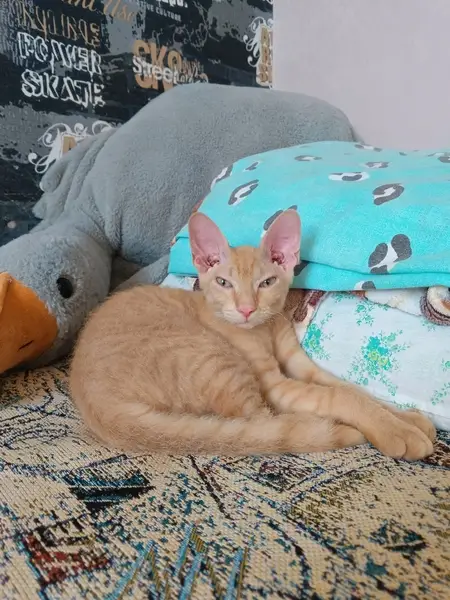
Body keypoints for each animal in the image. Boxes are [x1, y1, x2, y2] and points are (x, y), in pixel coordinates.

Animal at [70, 209, 436, 460]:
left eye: (267, 282)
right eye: (224, 283)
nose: (246, 309)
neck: (265, 330)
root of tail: (96, 404)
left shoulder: (301, 366)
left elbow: (350, 389)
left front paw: (405, 418)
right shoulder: (276, 385)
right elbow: (339, 397)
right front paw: (394, 430)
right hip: (213, 357)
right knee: (262, 423)